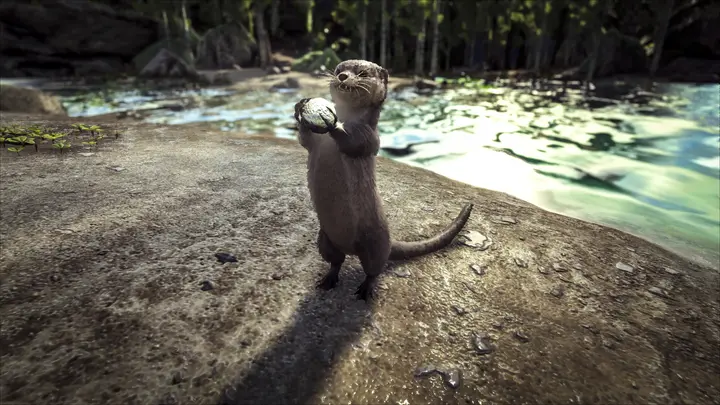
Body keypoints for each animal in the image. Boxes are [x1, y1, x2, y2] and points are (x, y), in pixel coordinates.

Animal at [294, 59, 474, 301]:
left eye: (361, 73)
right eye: (339, 69)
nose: (342, 76)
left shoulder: (370, 136)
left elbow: (354, 143)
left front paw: (331, 122)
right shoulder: (314, 143)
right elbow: (305, 140)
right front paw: (300, 108)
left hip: (374, 241)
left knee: (374, 268)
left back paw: (365, 290)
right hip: (325, 238)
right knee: (336, 260)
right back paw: (328, 279)